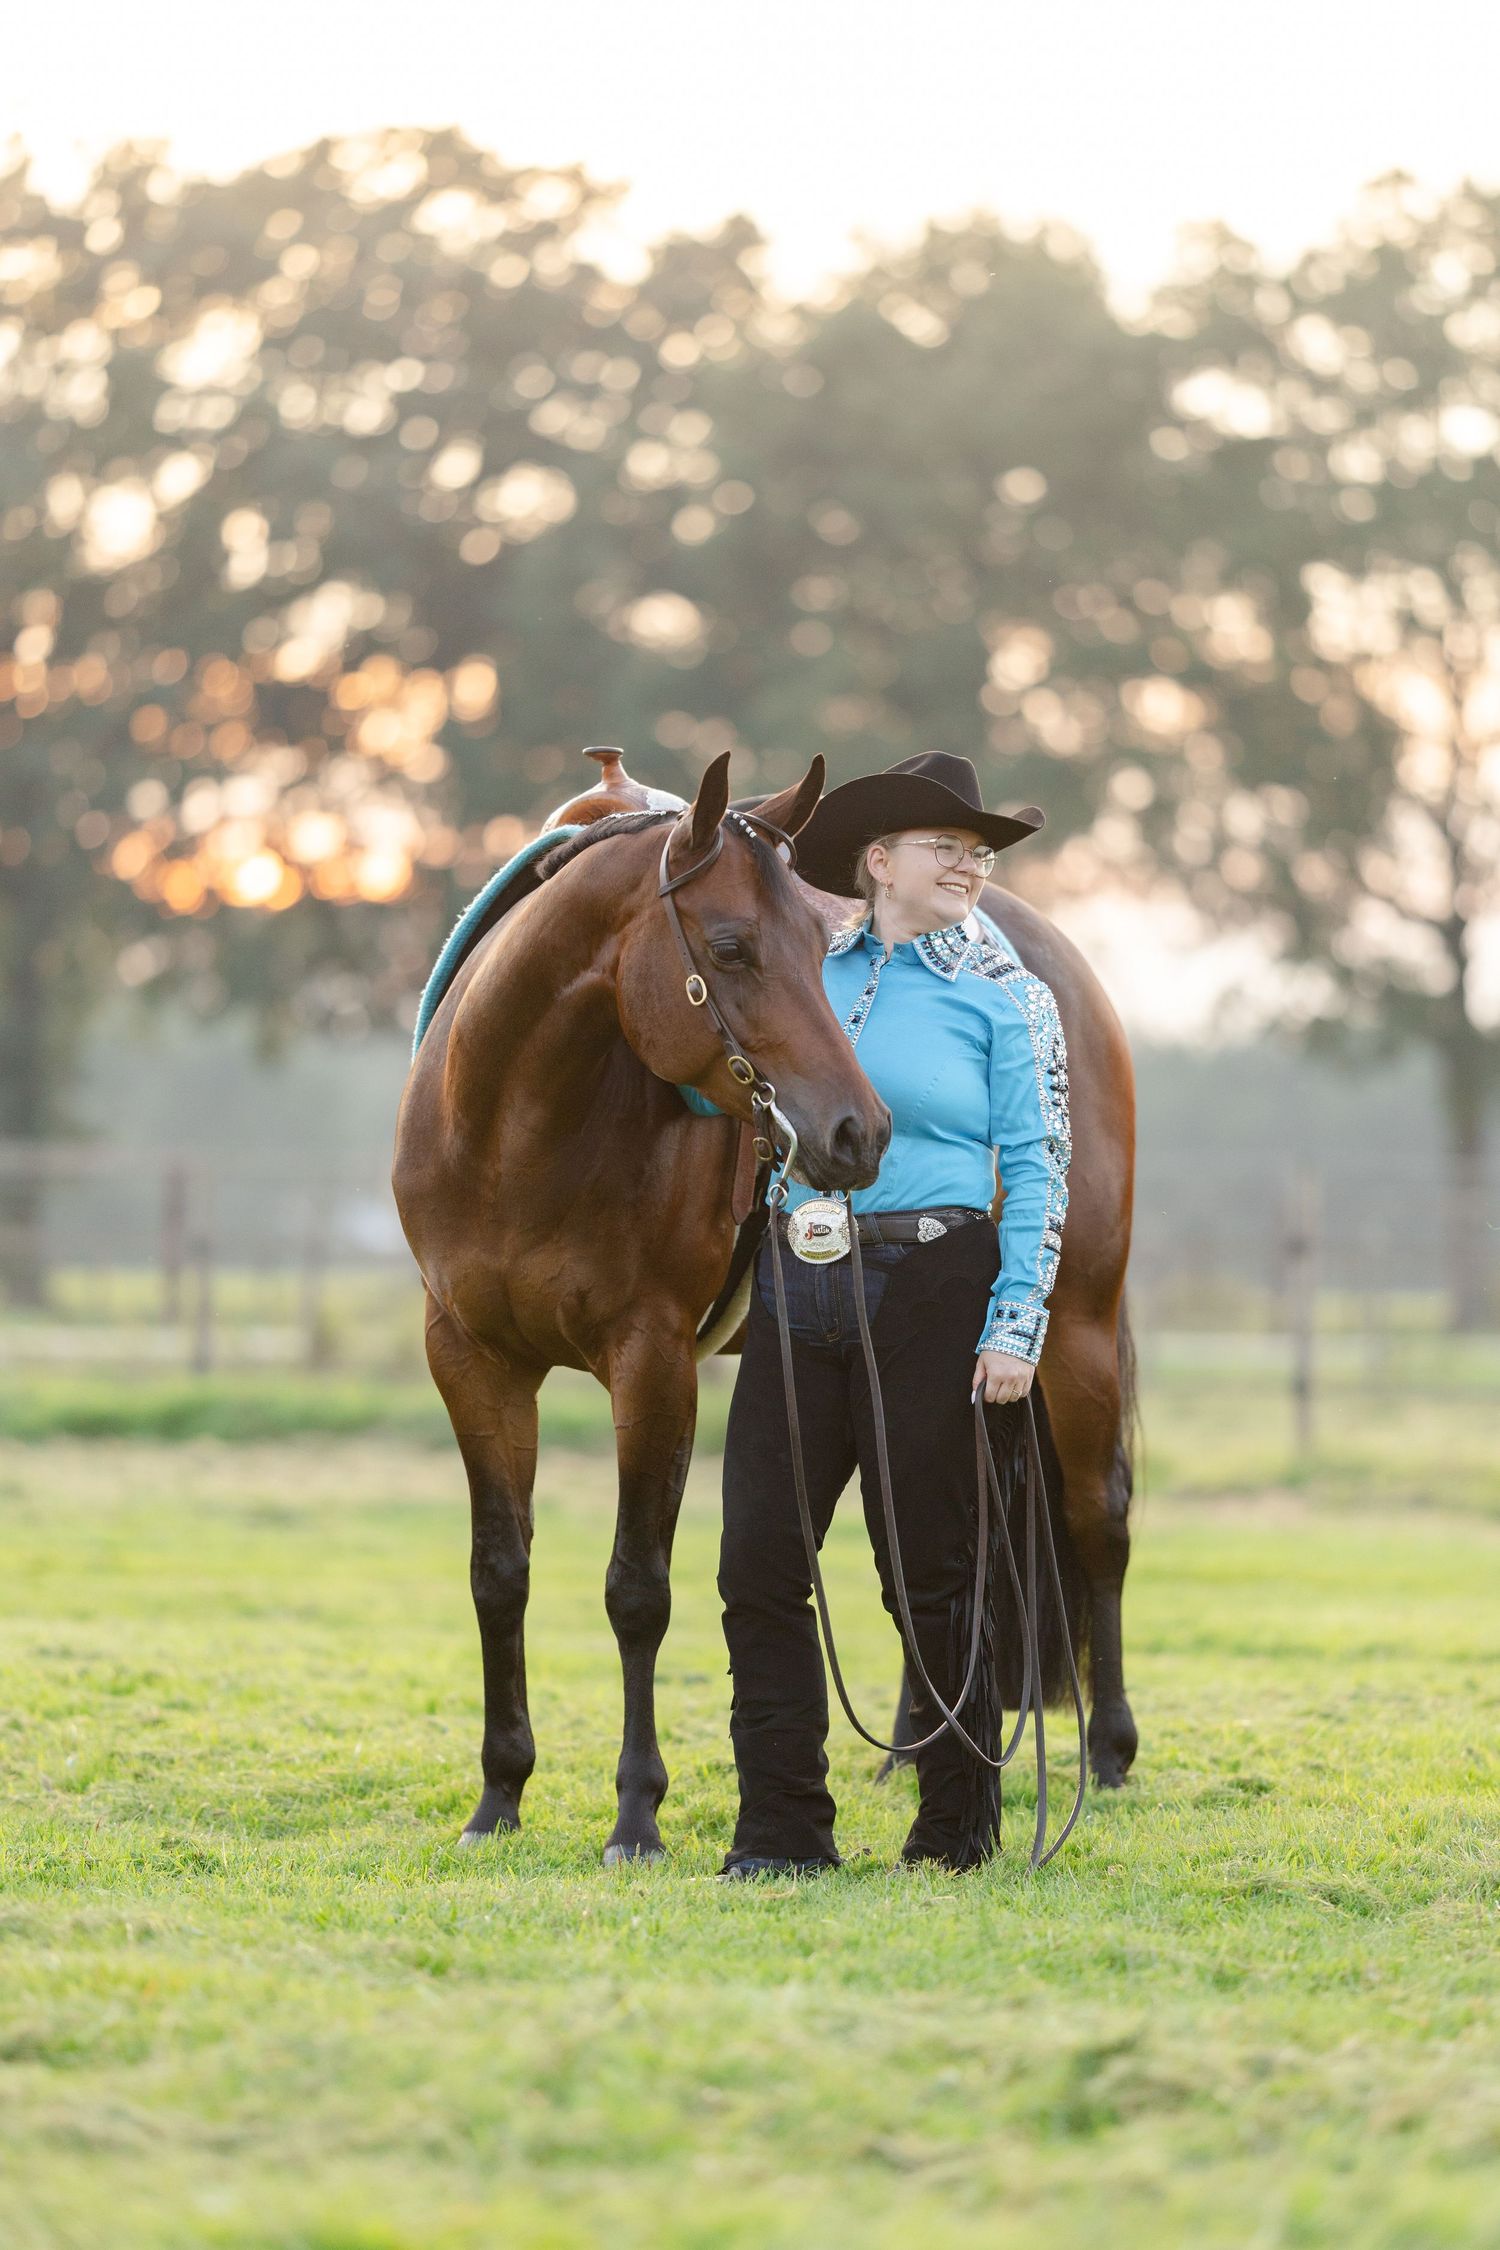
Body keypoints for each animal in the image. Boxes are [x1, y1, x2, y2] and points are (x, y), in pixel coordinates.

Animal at [393, 746, 1139, 1863]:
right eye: (735, 946)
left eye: (817, 946)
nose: (859, 1131)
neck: (514, 1131)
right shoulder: (472, 1360)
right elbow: (500, 1573)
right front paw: (500, 1796)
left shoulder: (653, 1362)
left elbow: (637, 1589)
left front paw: (636, 1815)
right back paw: (914, 1747)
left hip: (1073, 1333)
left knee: (1100, 1522)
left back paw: (1110, 1751)